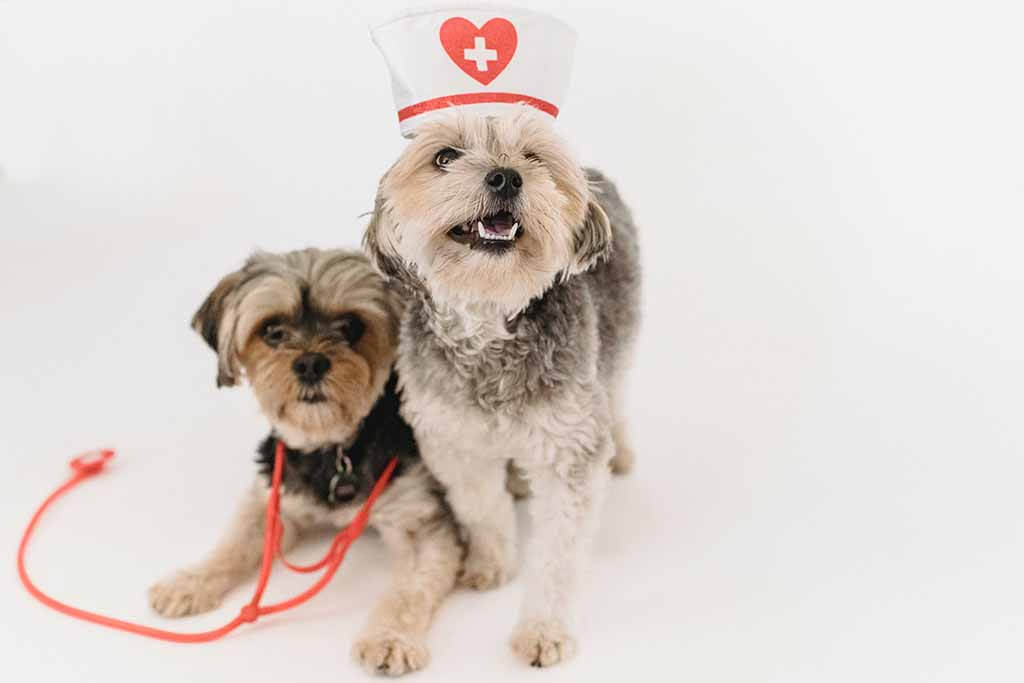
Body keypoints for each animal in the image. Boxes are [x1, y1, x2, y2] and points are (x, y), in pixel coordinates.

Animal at [148, 248, 460, 675]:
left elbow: (409, 591)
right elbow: (231, 546)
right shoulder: (272, 496)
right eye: (272, 331)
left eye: (351, 326)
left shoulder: (419, 520)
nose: (311, 363)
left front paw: (389, 637)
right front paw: (190, 581)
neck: (333, 449)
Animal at [362, 108, 638, 667]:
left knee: (616, 394)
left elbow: (556, 556)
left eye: (532, 156)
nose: (506, 177)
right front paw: (491, 565)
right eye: (444, 156)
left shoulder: (570, 448)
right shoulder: (455, 442)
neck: (489, 323)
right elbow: (483, 511)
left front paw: (543, 630)